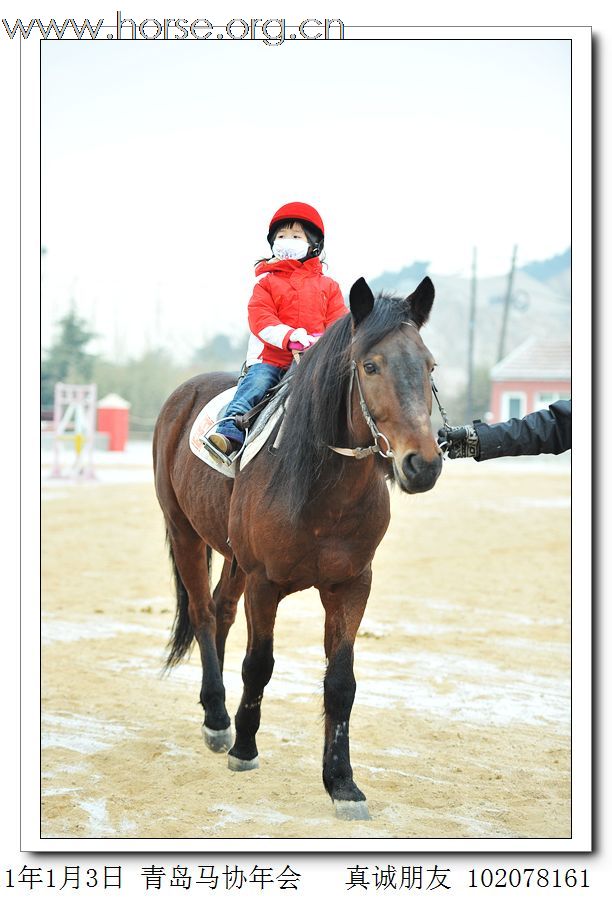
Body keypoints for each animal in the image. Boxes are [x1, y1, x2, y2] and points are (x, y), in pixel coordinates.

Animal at [152, 274, 440, 820]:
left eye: (429, 364)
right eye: (370, 365)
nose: (423, 464)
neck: (322, 487)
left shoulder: (351, 585)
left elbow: (341, 682)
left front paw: (342, 783)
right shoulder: (265, 583)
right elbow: (259, 665)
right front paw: (245, 749)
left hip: (233, 558)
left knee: (220, 612)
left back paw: (216, 709)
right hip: (184, 533)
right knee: (202, 614)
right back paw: (219, 716)